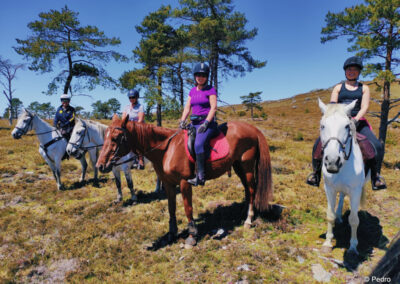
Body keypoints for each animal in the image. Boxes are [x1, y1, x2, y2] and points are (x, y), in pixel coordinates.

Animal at [96, 114, 272, 245]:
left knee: (251, 189)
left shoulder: (184, 183)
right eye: (105, 136)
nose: (100, 166)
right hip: (238, 166)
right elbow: (171, 208)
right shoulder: (168, 184)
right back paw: (243, 213)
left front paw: (192, 235)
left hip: (247, 166)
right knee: (247, 189)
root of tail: (253, 129)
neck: (167, 150)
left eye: (116, 137)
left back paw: (248, 220)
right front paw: (171, 233)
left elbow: (188, 209)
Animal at [318, 98, 368, 254]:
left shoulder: (356, 190)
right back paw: (339, 216)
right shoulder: (329, 188)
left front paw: (353, 247)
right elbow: (330, 215)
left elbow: (354, 219)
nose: (332, 161)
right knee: (341, 196)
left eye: (347, 126)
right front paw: (327, 243)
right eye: (322, 125)